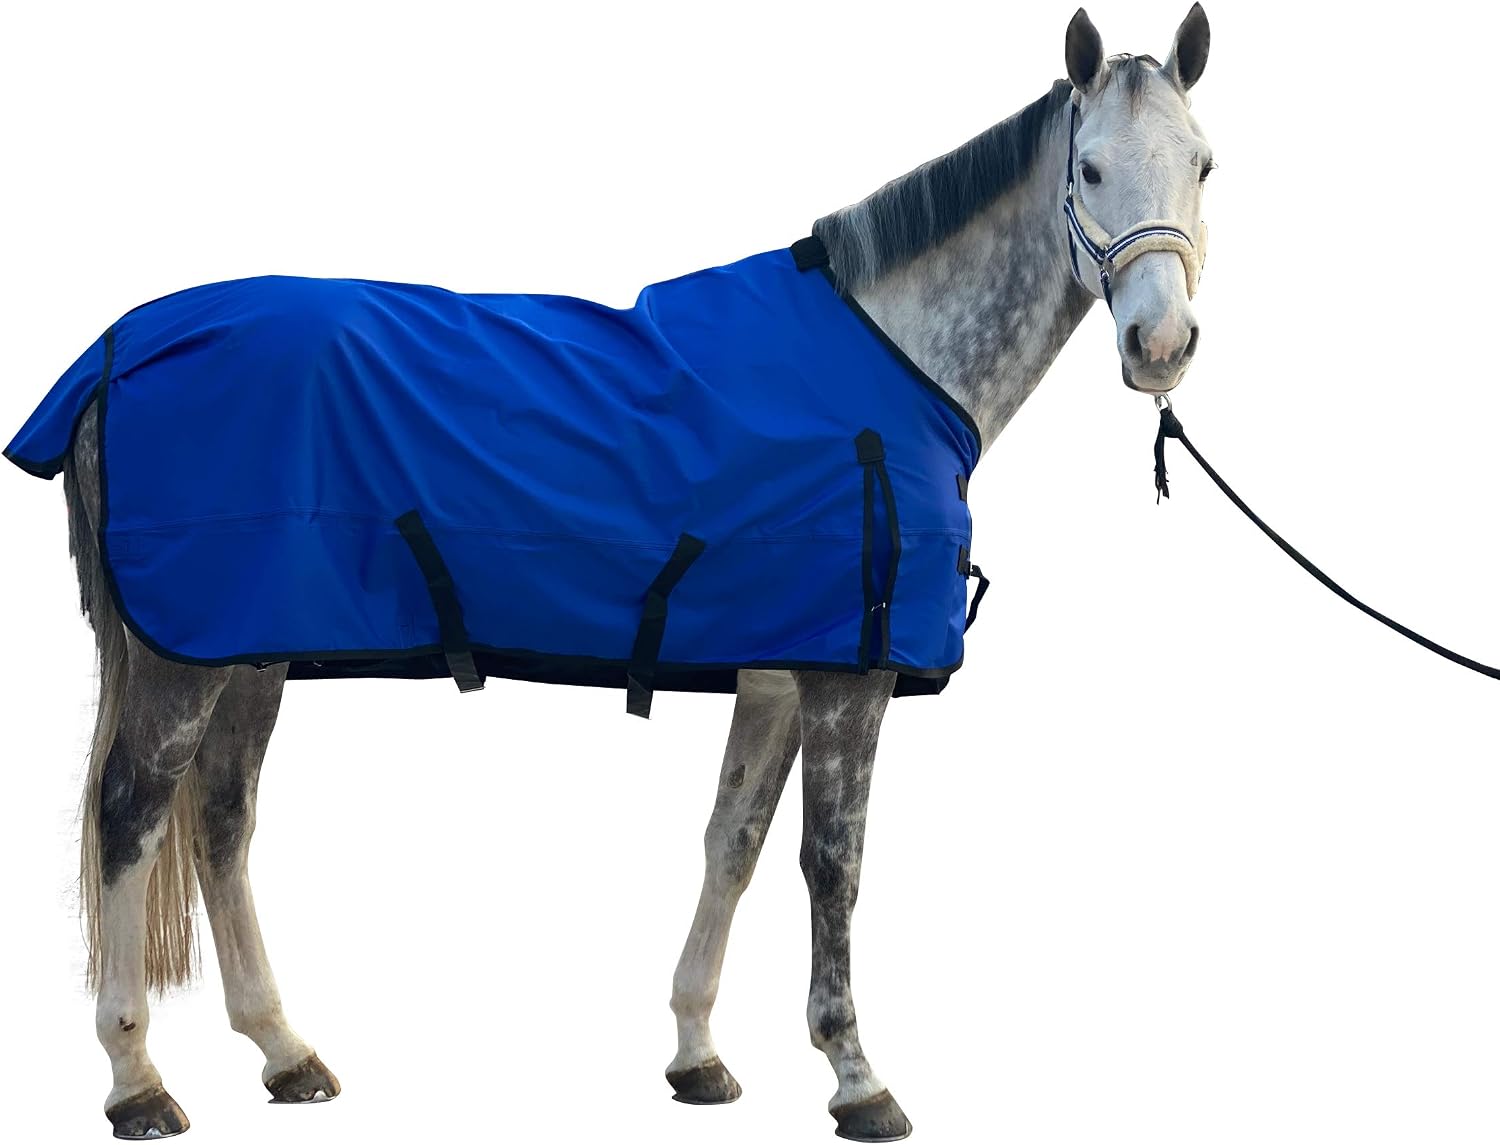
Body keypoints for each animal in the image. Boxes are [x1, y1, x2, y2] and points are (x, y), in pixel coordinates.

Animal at [9, 7, 1214, 1140]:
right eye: (1089, 167)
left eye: (1202, 163)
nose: (1160, 346)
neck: (892, 361)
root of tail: (114, 352)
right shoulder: (848, 680)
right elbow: (832, 863)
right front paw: (857, 1076)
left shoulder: (775, 673)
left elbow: (732, 842)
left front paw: (696, 1052)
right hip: (185, 656)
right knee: (130, 815)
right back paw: (137, 1080)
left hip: (249, 646)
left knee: (221, 819)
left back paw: (284, 1051)